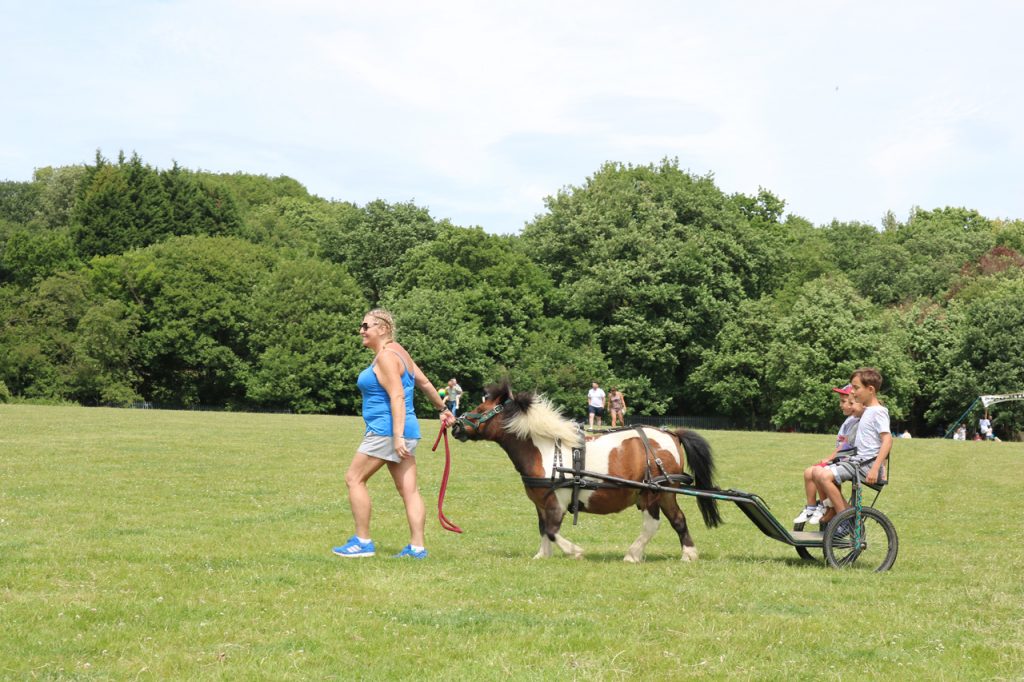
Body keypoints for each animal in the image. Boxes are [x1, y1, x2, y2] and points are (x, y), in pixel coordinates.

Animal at [452, 378, 724, 561]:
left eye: (481, 410)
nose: (455, 425)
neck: (546, 451)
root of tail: (671, 434)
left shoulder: (557, 502)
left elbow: (552, 530)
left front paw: (575, 551)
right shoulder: (541, 503)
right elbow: (543, 529)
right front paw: (542, 555)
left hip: (650, 492)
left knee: (651, 524)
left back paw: (633, 554)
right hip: (666, 492)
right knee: (678, 519)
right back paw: (688, 554)